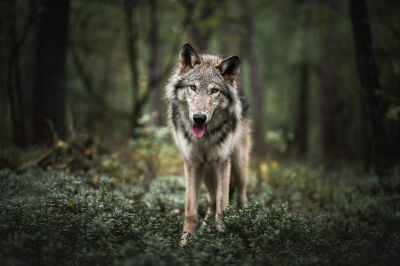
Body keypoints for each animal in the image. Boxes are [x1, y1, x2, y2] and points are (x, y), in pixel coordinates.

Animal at [166, 42, 250, 244]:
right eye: (193, 87)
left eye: (214, 90)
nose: (199, 118)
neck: (205, 138)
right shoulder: (192, 163)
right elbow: (191, 211)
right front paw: (185, 242)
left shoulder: (223, 162)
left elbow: (222, 207)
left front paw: (223, 239)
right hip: (206, 171)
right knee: (211, 201)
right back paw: (204, 228)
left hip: (238, 164)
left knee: (242, 197)